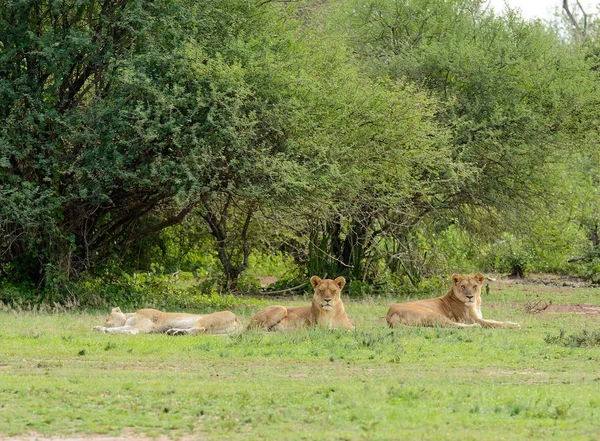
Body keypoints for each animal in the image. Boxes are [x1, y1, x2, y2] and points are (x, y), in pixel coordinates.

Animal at [386, 274, 516, 328]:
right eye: (463, 286)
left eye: (474, 286)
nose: (470, 296)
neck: (476, 304)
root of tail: (389, 314)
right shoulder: (472, 319)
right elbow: (493, 323)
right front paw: (513, 325)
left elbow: (494, 320)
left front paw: (511, 322)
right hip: (433, 314)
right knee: (450, 325)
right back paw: (474, 326)